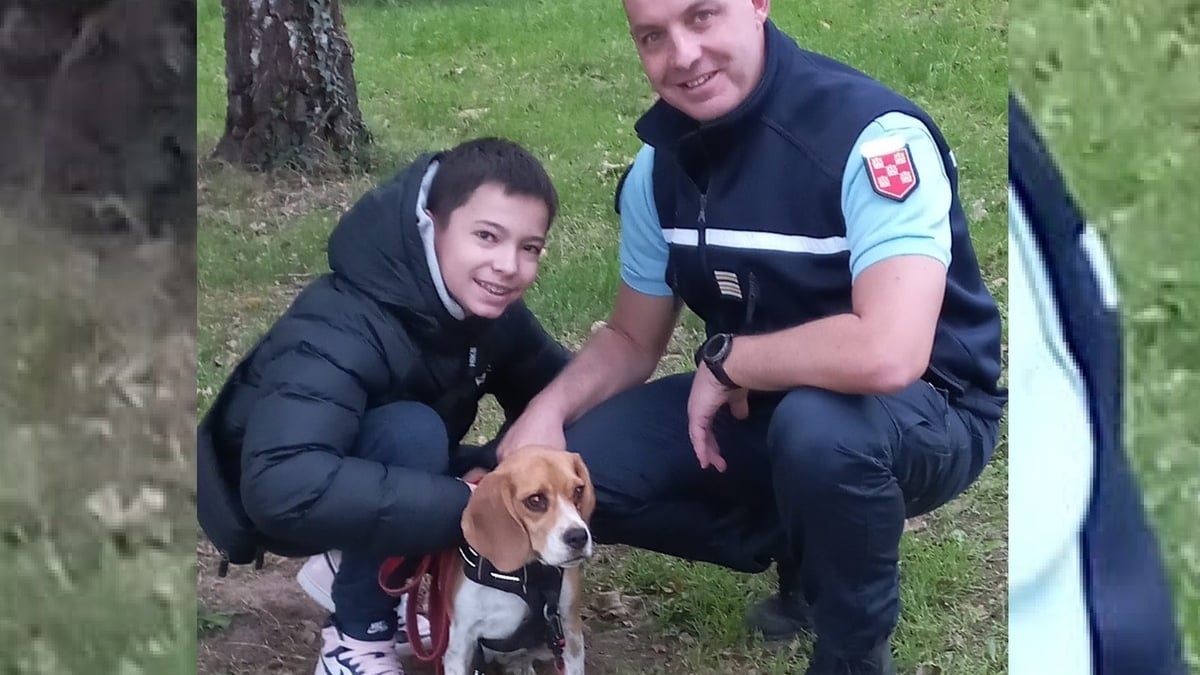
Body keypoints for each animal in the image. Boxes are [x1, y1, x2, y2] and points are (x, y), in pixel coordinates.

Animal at [446, 444, 595, 667]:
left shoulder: (570, 632)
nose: (579, 537)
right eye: (535, 500)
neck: (524, 575)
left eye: (578, 490)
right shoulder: (460, 645)